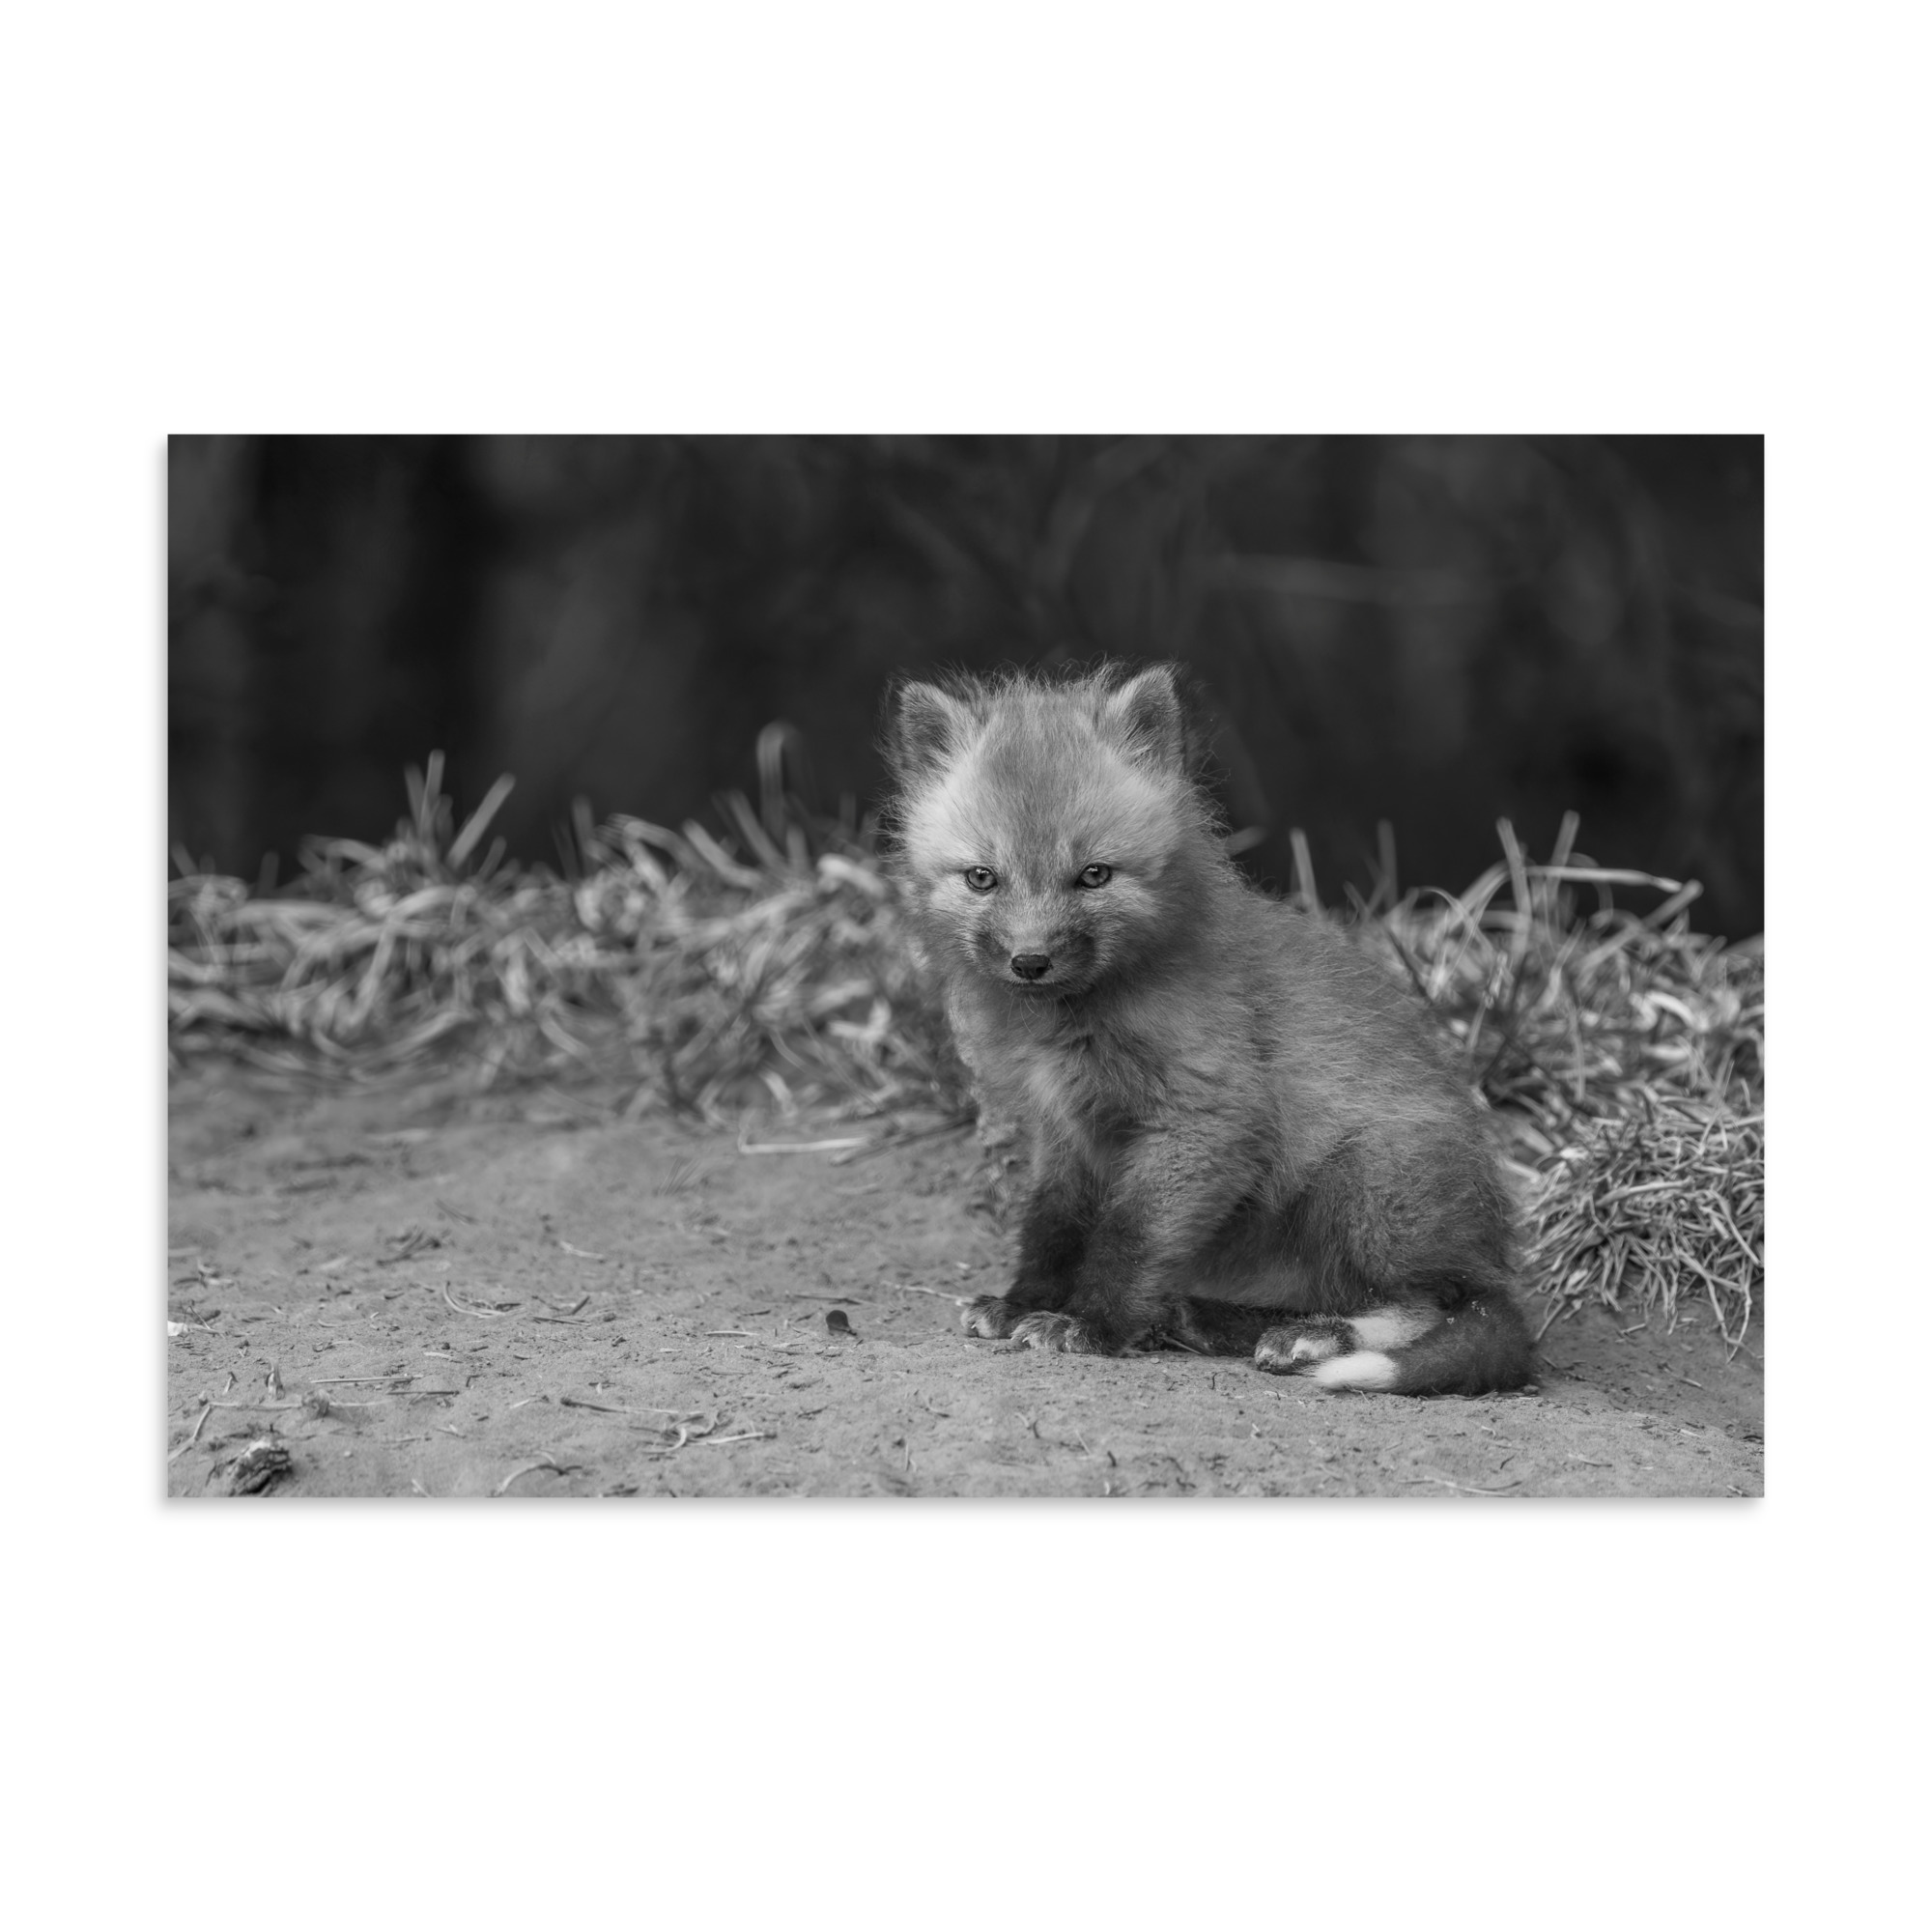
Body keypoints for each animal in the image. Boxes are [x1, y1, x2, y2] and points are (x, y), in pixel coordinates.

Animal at [882, 660, 1534, 1396]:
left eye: (1094, 876)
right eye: (982, 878)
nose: (1030, 961)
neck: (1077, 1024)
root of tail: (1492, 1252)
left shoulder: (1205, 1119)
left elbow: (1129, 1236)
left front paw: (1092, 1325)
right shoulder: (1065, 1131)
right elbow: (1052, 1227)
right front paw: (1025, 1303)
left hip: (1365, 1183)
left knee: (1436, 1304)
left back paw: (1312, 1338)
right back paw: (1208, 1319)